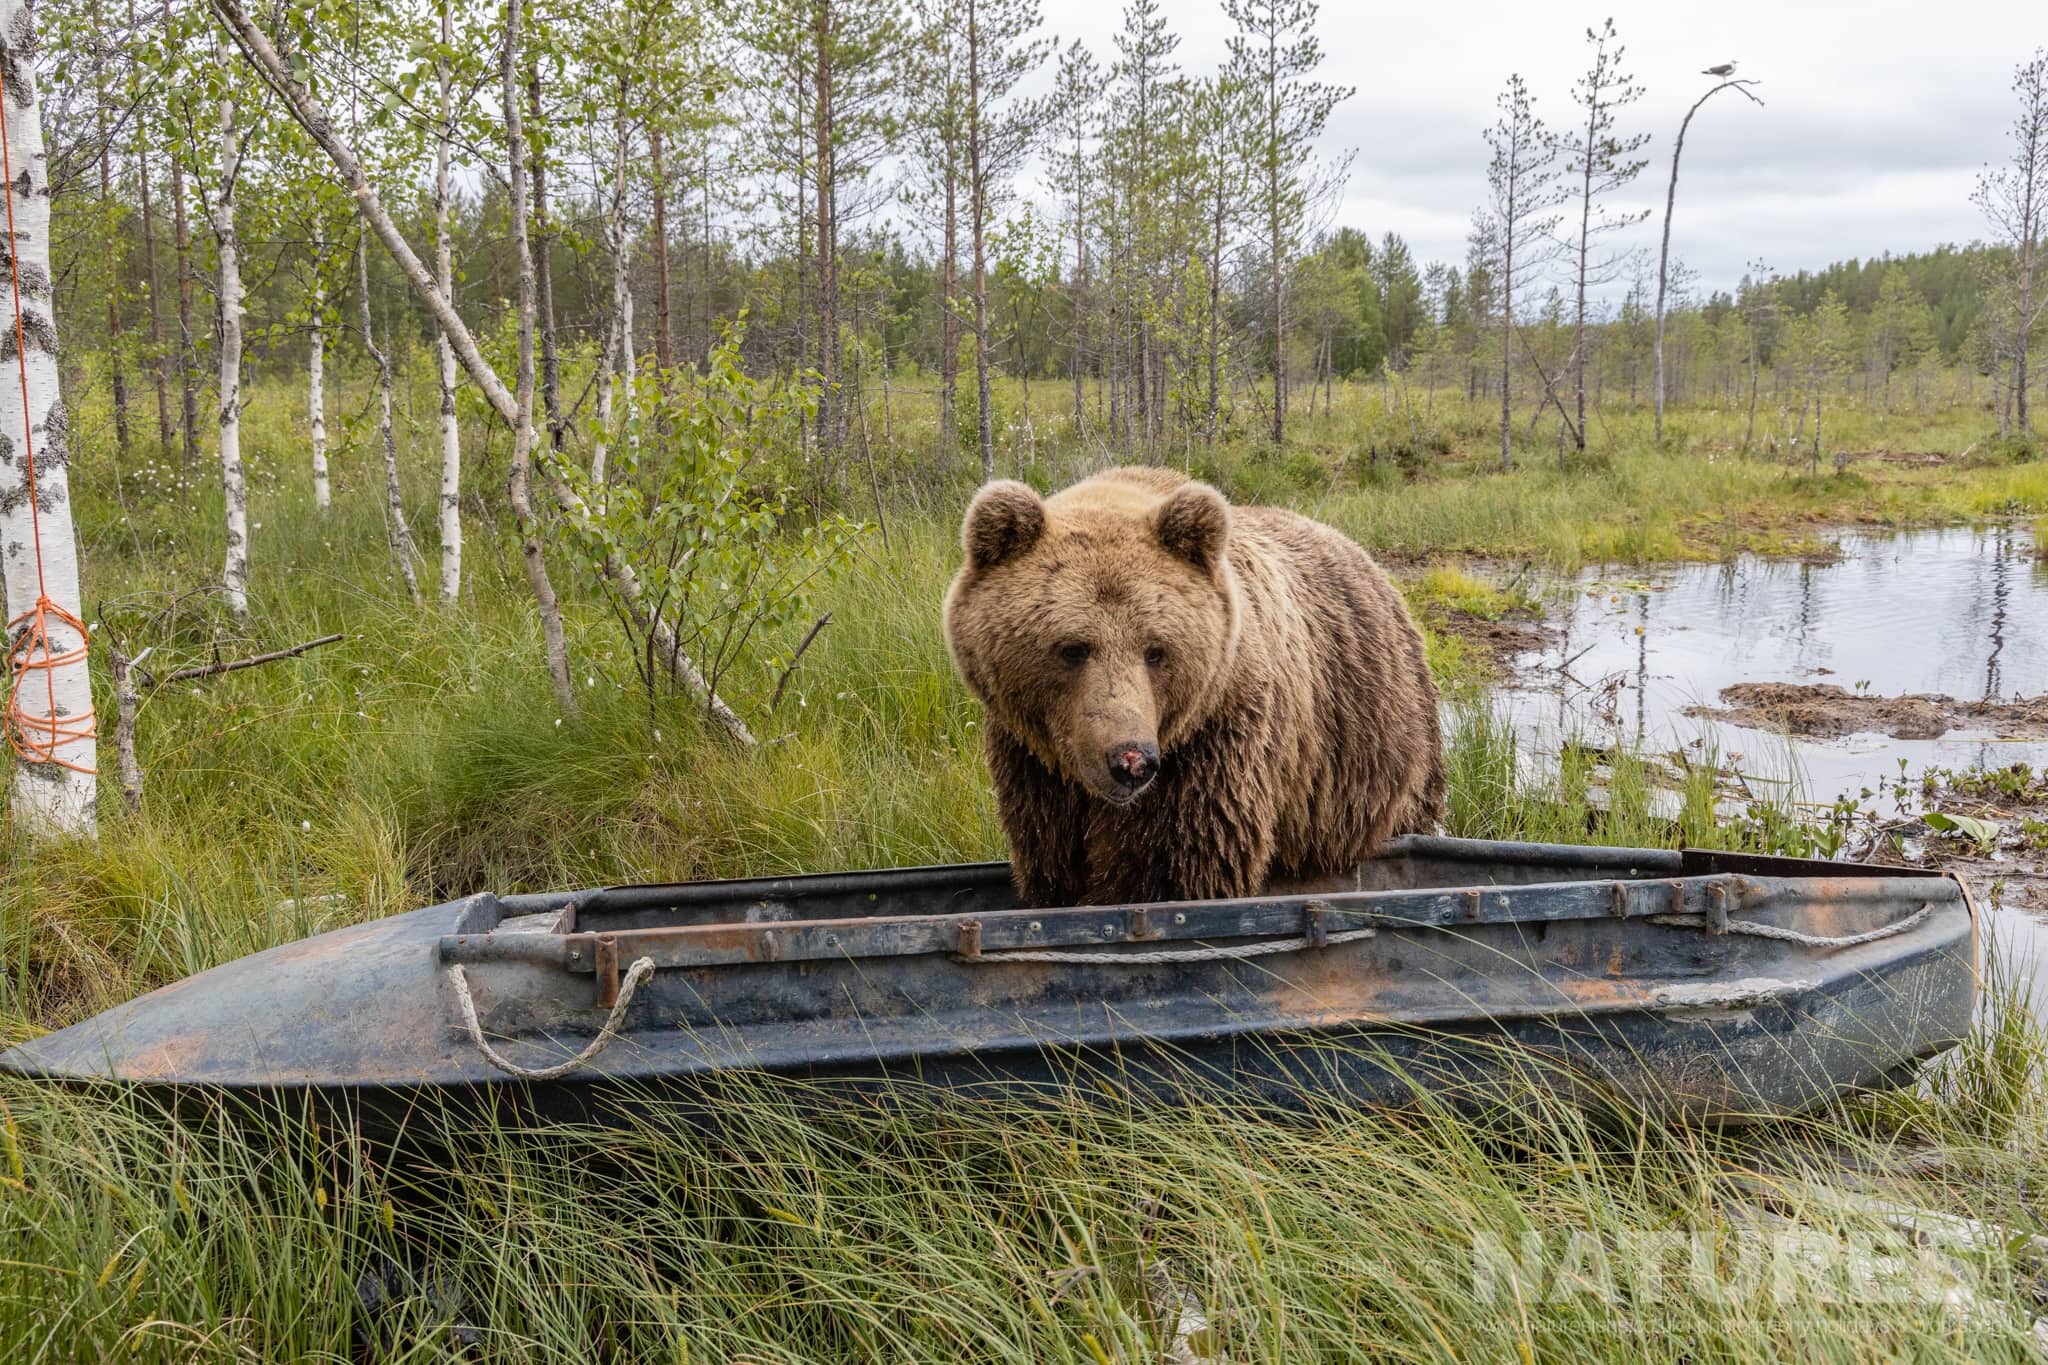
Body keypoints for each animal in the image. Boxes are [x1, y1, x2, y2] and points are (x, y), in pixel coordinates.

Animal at [943, 466, 1444, 908]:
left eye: (1156, 650)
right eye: (1072, 648)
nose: (1131, 760)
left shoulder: (1213, 742)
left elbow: (1180, 863)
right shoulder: (1033, 765)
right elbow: (1052, 861)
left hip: (1375, 755)